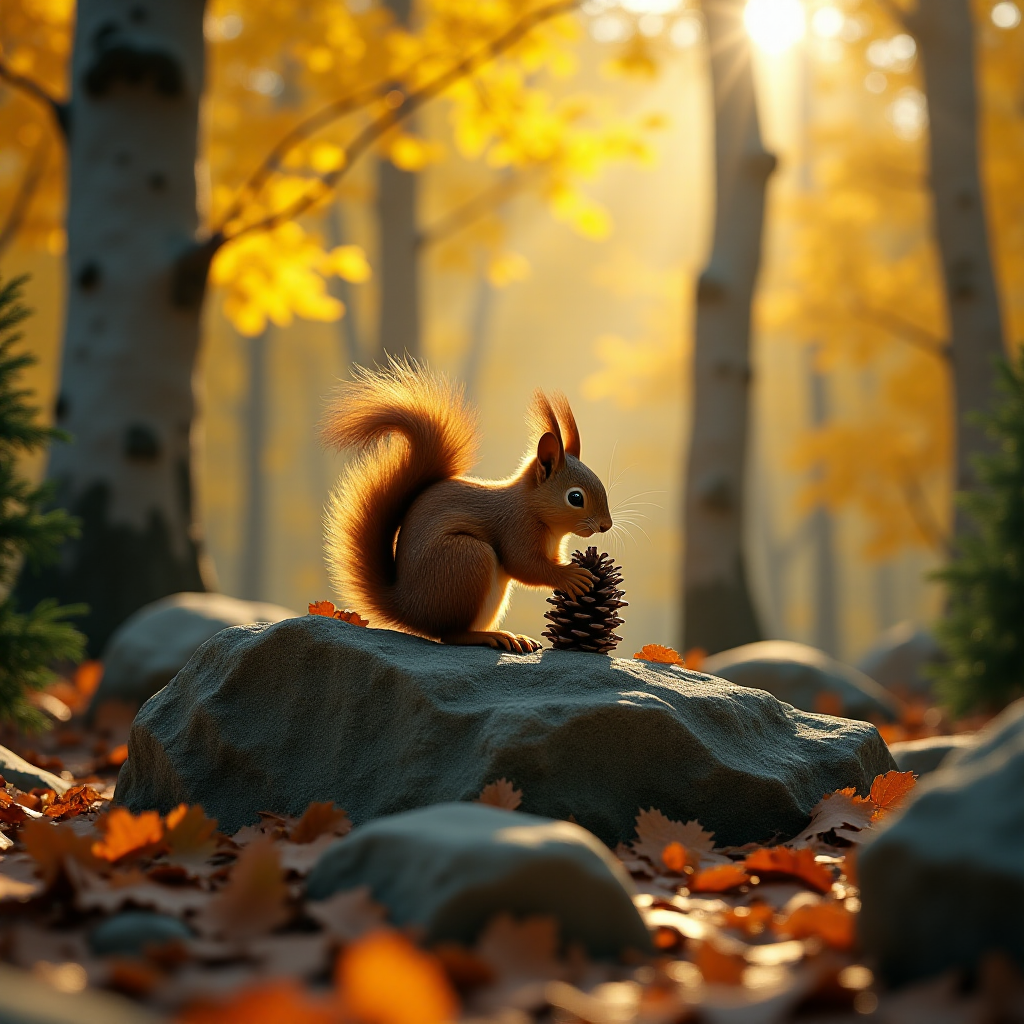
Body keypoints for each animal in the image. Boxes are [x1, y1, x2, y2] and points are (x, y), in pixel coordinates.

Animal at [320, 360, 613, 653]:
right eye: (575, 498)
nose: (606, 525)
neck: (536, 511)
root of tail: (409, 609)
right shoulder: (516, 526)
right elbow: (524, 565)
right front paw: (571, 575)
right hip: (467, 558)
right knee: (451, 635)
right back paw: (494, 636)